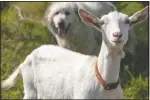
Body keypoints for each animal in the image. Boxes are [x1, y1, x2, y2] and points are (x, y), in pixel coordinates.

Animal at [1, 6, 148, 99]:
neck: (103, 84)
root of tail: (29, 56)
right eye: (102, 22)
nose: (117, 35)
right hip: (30, 87)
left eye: (128, 21)